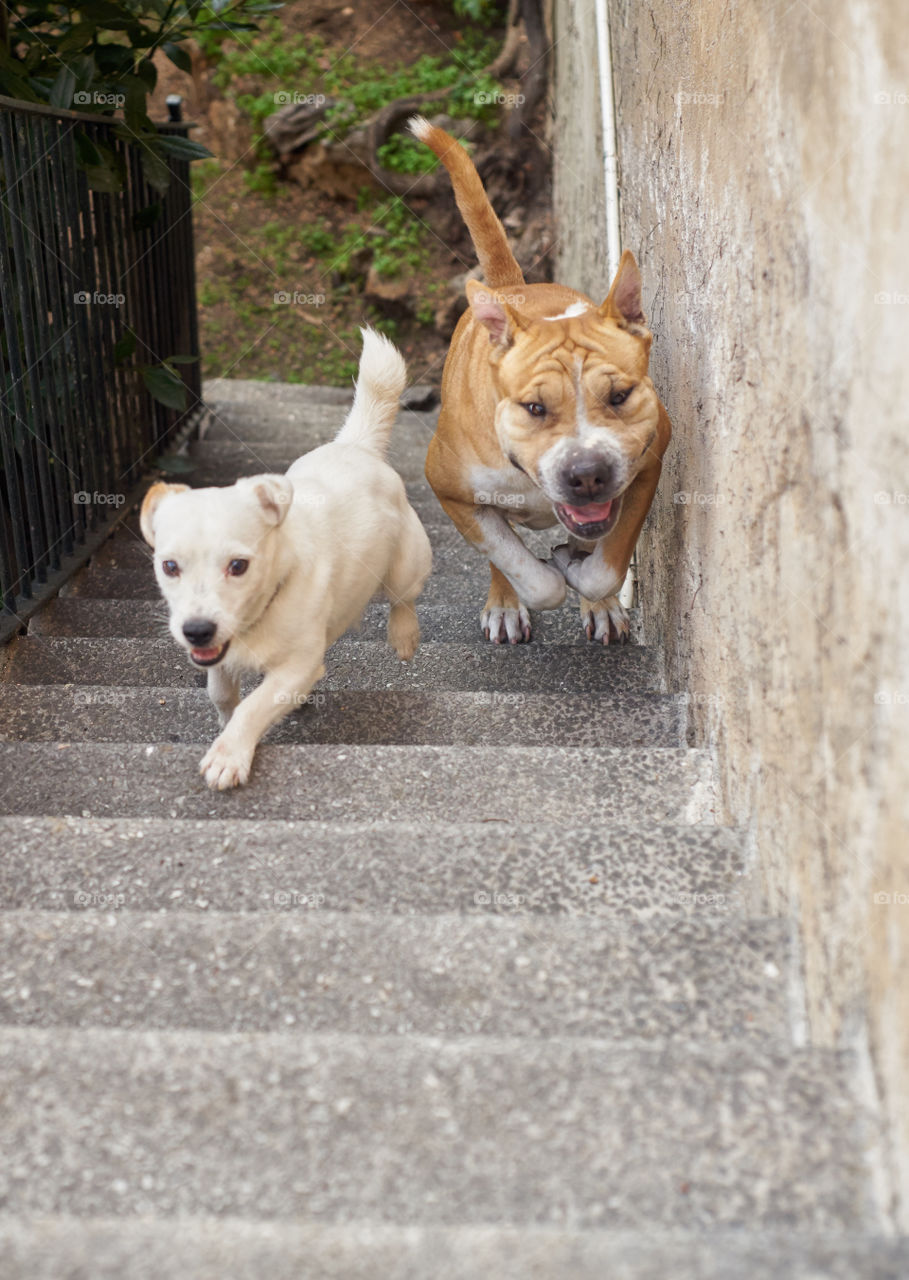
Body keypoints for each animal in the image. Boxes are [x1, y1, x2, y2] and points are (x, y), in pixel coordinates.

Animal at [140, 327, 432, 788]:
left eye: (238, 566)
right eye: (169, 566)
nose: (197, 631)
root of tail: (356, 445)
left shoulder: (297, 665)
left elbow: (253, 706)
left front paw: (229, 753)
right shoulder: (222, 657)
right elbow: (222, 693)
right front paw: (226, 724)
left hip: (407, 563)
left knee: (404, 598)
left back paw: (404, 636)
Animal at [409, 116, 670, 645]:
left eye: (620, 396)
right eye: (535, 408)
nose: (587, 473)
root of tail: (511, 288)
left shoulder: (649, 462)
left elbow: (606, 563)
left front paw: (588, 582)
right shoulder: (447, 488)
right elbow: (524, 569)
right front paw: (539, 582)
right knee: (503, 550)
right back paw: (505, 604)